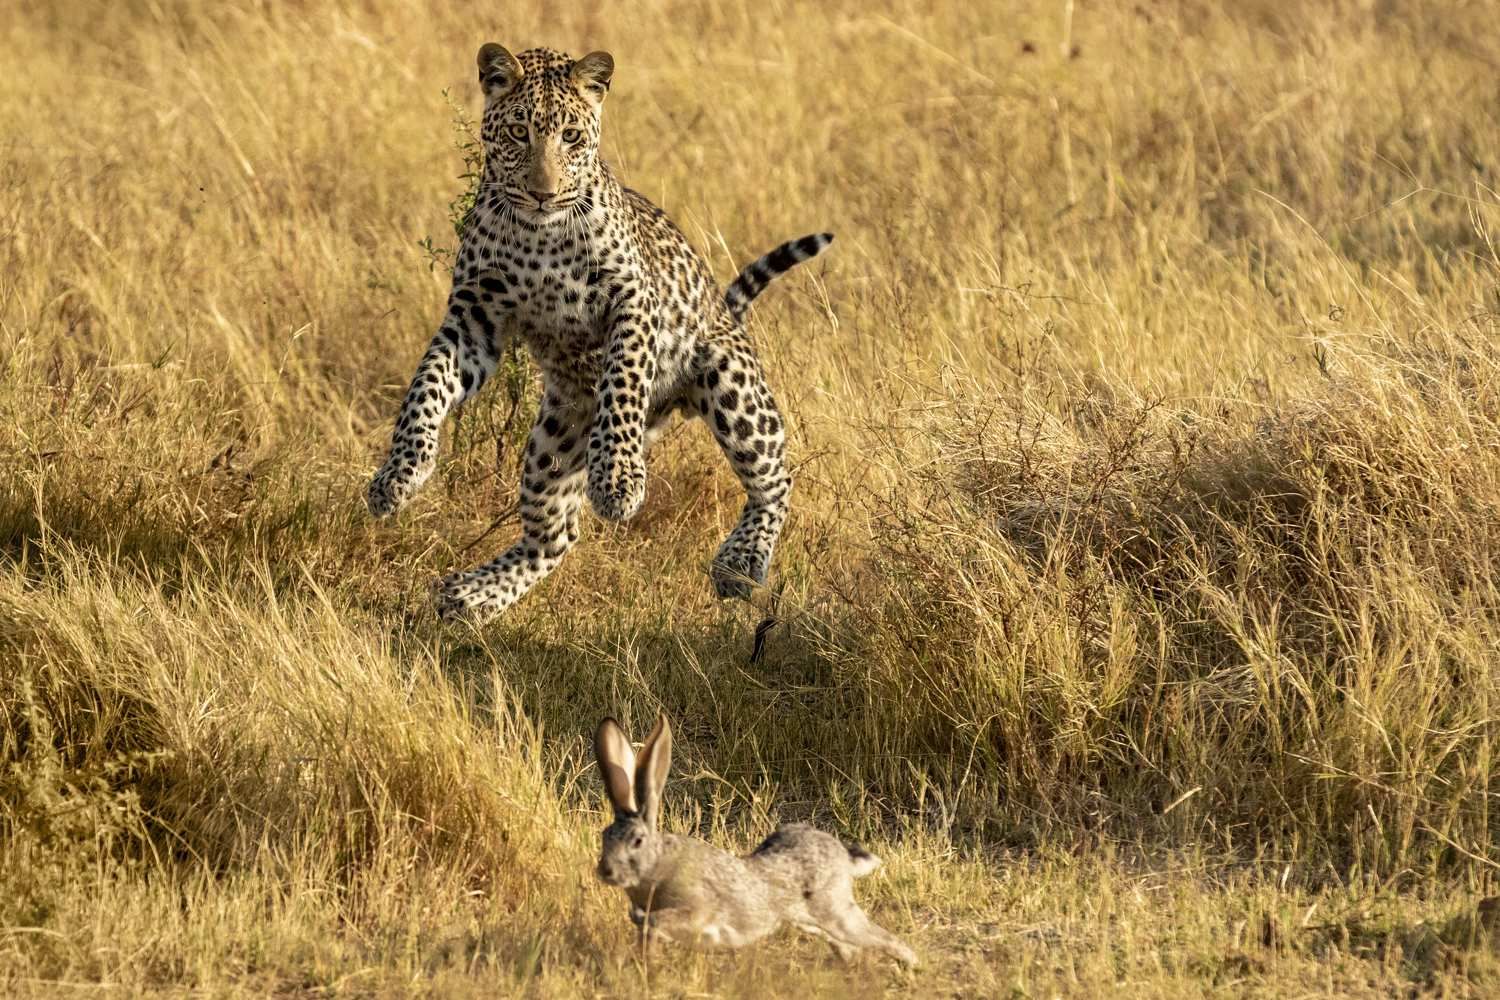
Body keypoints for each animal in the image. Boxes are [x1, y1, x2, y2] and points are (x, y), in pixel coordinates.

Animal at [364, 48, 834, 626]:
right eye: (518, 131)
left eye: (570, 136)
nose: (543, 194)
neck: (537, 234)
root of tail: (725, 311)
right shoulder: (473, 320)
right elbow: (425, 387)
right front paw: (398, 476)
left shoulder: (632, 301)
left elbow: (622, 382)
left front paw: (618, 481)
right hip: (554, 442)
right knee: (554, 537)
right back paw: (470, 596)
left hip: (731, 385)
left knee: (775, 479)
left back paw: (739, 564)